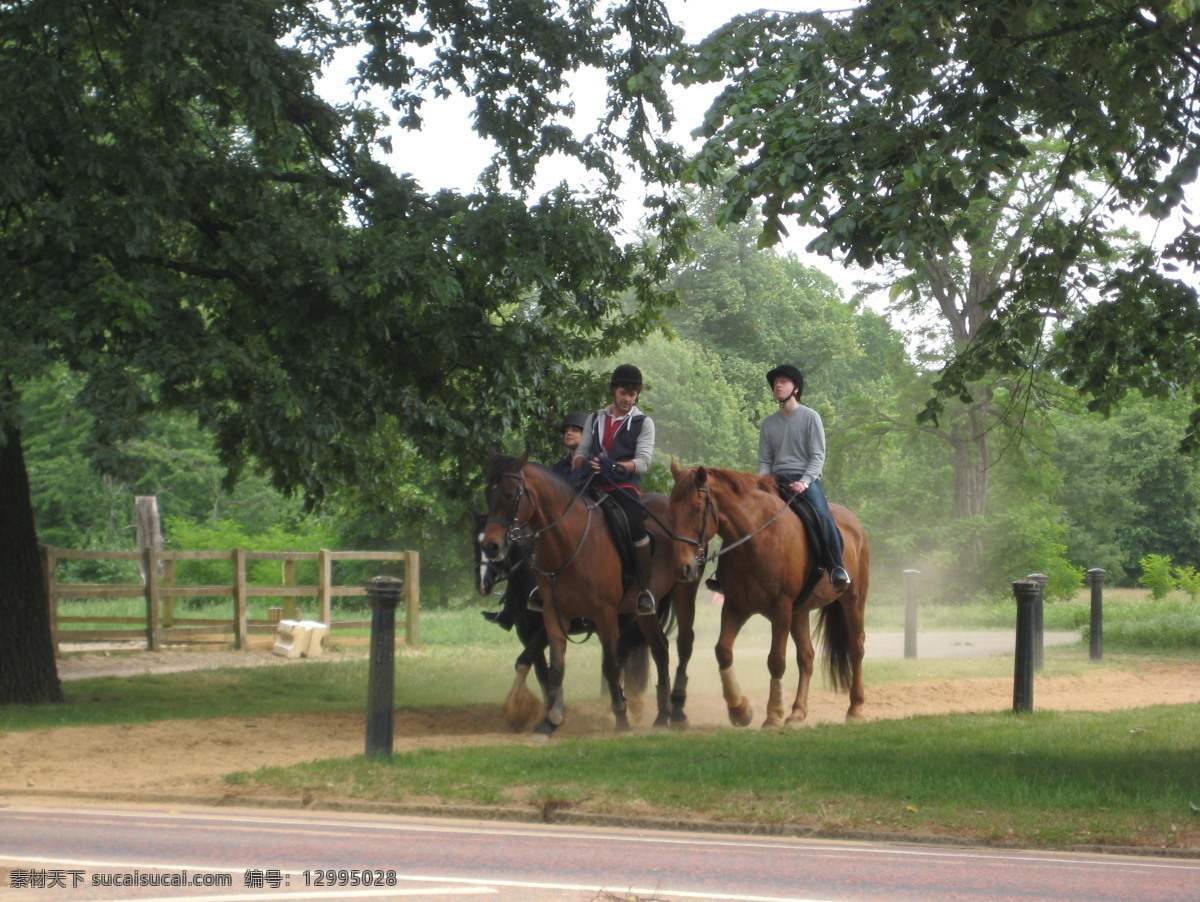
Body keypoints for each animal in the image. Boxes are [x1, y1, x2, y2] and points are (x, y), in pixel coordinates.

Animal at [472, 513, 652, 734]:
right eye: (475, 542)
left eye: (496, 546)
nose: (483, 585)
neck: (526, 578)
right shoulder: (526, 633)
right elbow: (541, 672)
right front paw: (549, 713)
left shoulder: (543, 630)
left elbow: (523, 661)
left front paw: (518, 711)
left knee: (624, 659)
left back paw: (629, 706)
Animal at [667, 460, 873, 729]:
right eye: (671, 510)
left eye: (696, 509)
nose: (683, 567)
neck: (755, 538)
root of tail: (855, 523)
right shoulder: (735, 606)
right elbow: (723, 651)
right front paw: (740, 710)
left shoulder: (780, 608)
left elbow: (776, 660)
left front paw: (773, 715)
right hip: (800, 612)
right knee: (806, 657)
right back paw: (797, 713)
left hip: (853, 601)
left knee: (856, 648)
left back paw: (856, 709)